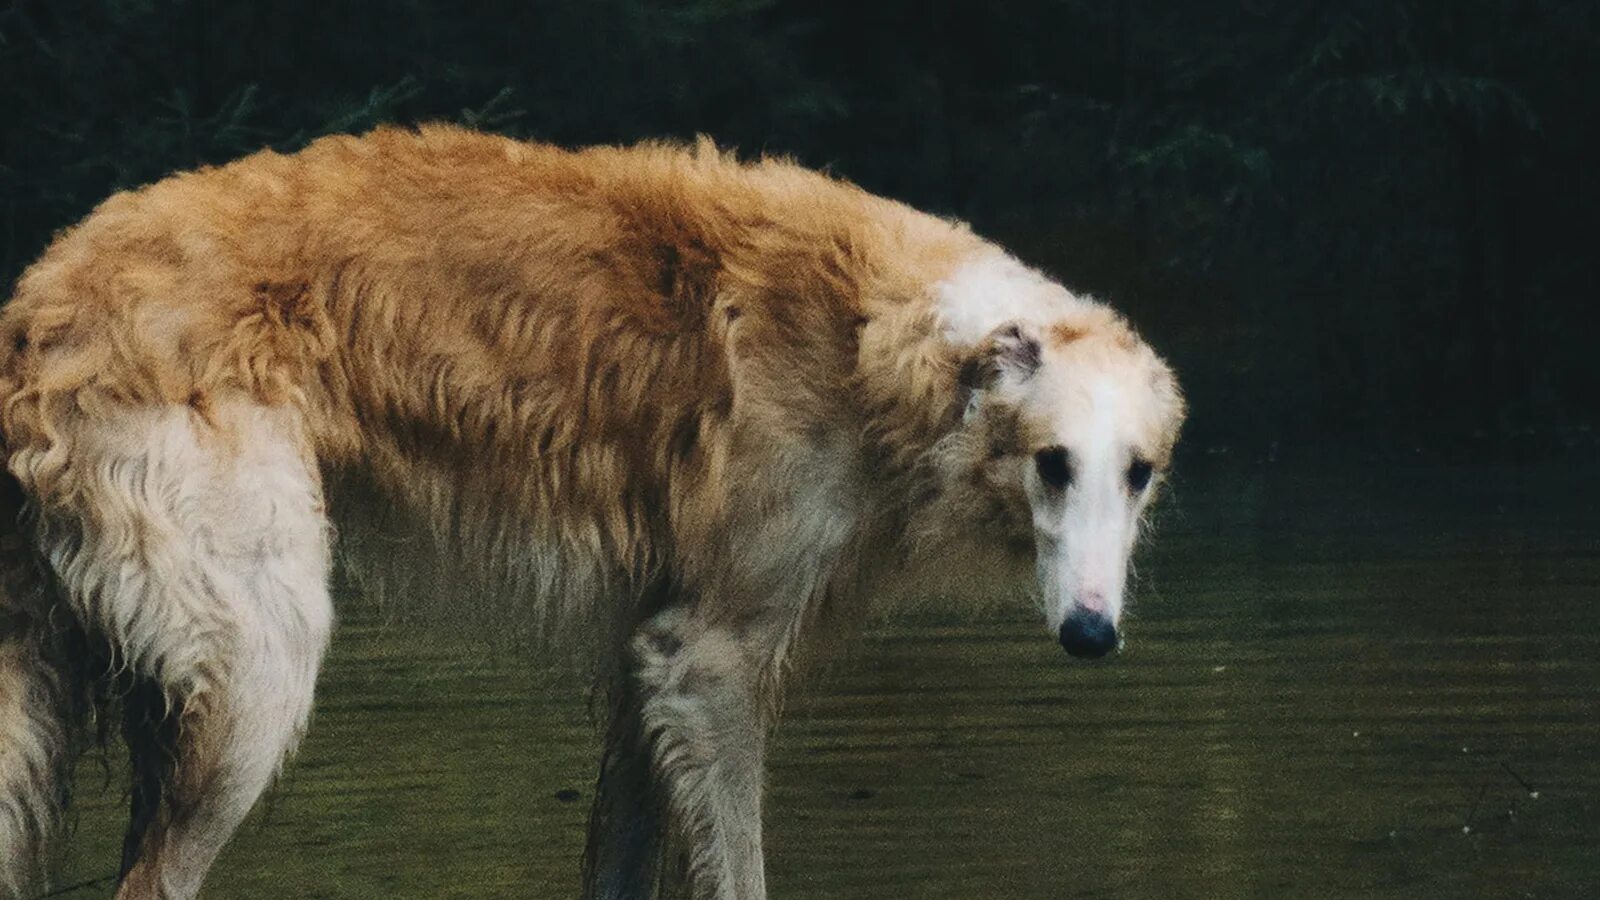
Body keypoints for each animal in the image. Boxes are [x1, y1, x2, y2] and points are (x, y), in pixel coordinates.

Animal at [0, 126, 1184, 896]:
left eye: (1138, 473)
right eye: (1052, 464)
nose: (1093, 635)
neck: (890, 341)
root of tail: (41, 294)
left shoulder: (643, 665)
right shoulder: (707, 660)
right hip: (254, 664)